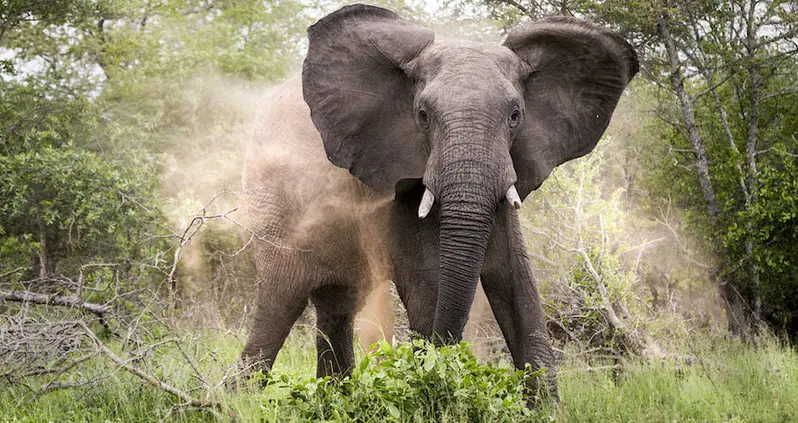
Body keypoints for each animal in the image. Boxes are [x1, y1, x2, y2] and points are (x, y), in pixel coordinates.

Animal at [241, 2, 640, 398]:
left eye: (515, 116)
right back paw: (239, 395)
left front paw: (545, 406)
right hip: (275, 204)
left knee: (337, 303)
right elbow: (427, 282)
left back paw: (336, 395)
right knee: (280, 300)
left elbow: (515, 278)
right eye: (423, 116)